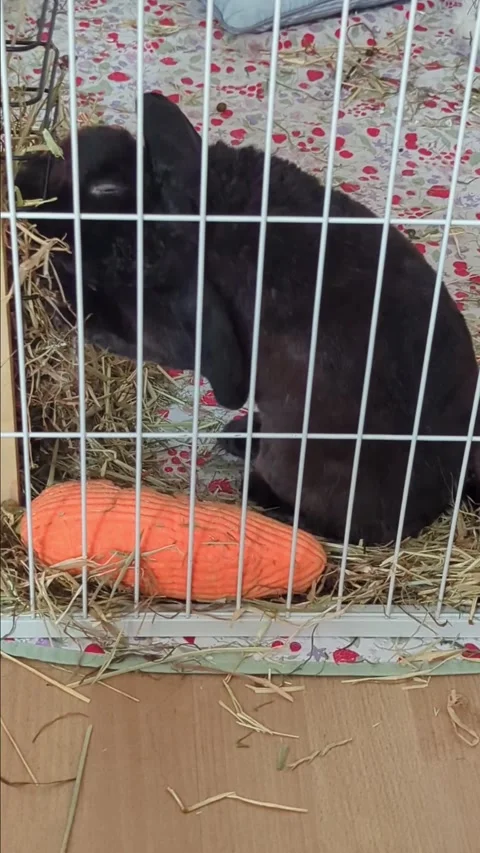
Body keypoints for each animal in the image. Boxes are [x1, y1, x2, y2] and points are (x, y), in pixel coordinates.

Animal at [16, 92, 480, 545]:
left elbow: (119, 326)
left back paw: (258, 490)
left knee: (357, 533)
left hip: (300, 461)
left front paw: (60, 298)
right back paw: (239, 434)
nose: (22, 177)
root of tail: (449, 485)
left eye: (103, 188)